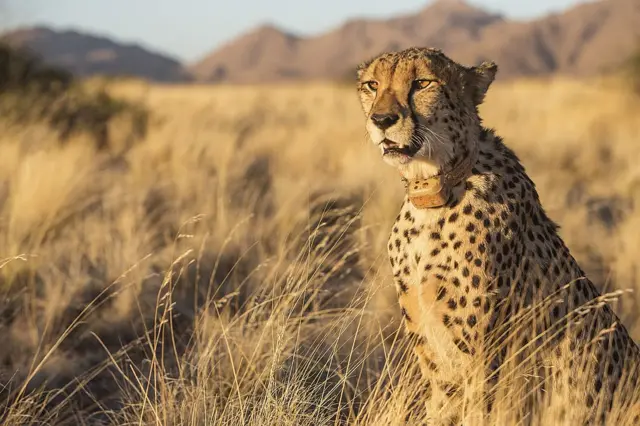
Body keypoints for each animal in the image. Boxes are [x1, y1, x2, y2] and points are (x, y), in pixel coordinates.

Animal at [356, 47, 640, 426]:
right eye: (372, 85)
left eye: (422, 83)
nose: (382, 119)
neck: (434, 192)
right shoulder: (437, 364)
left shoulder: (485, 364)